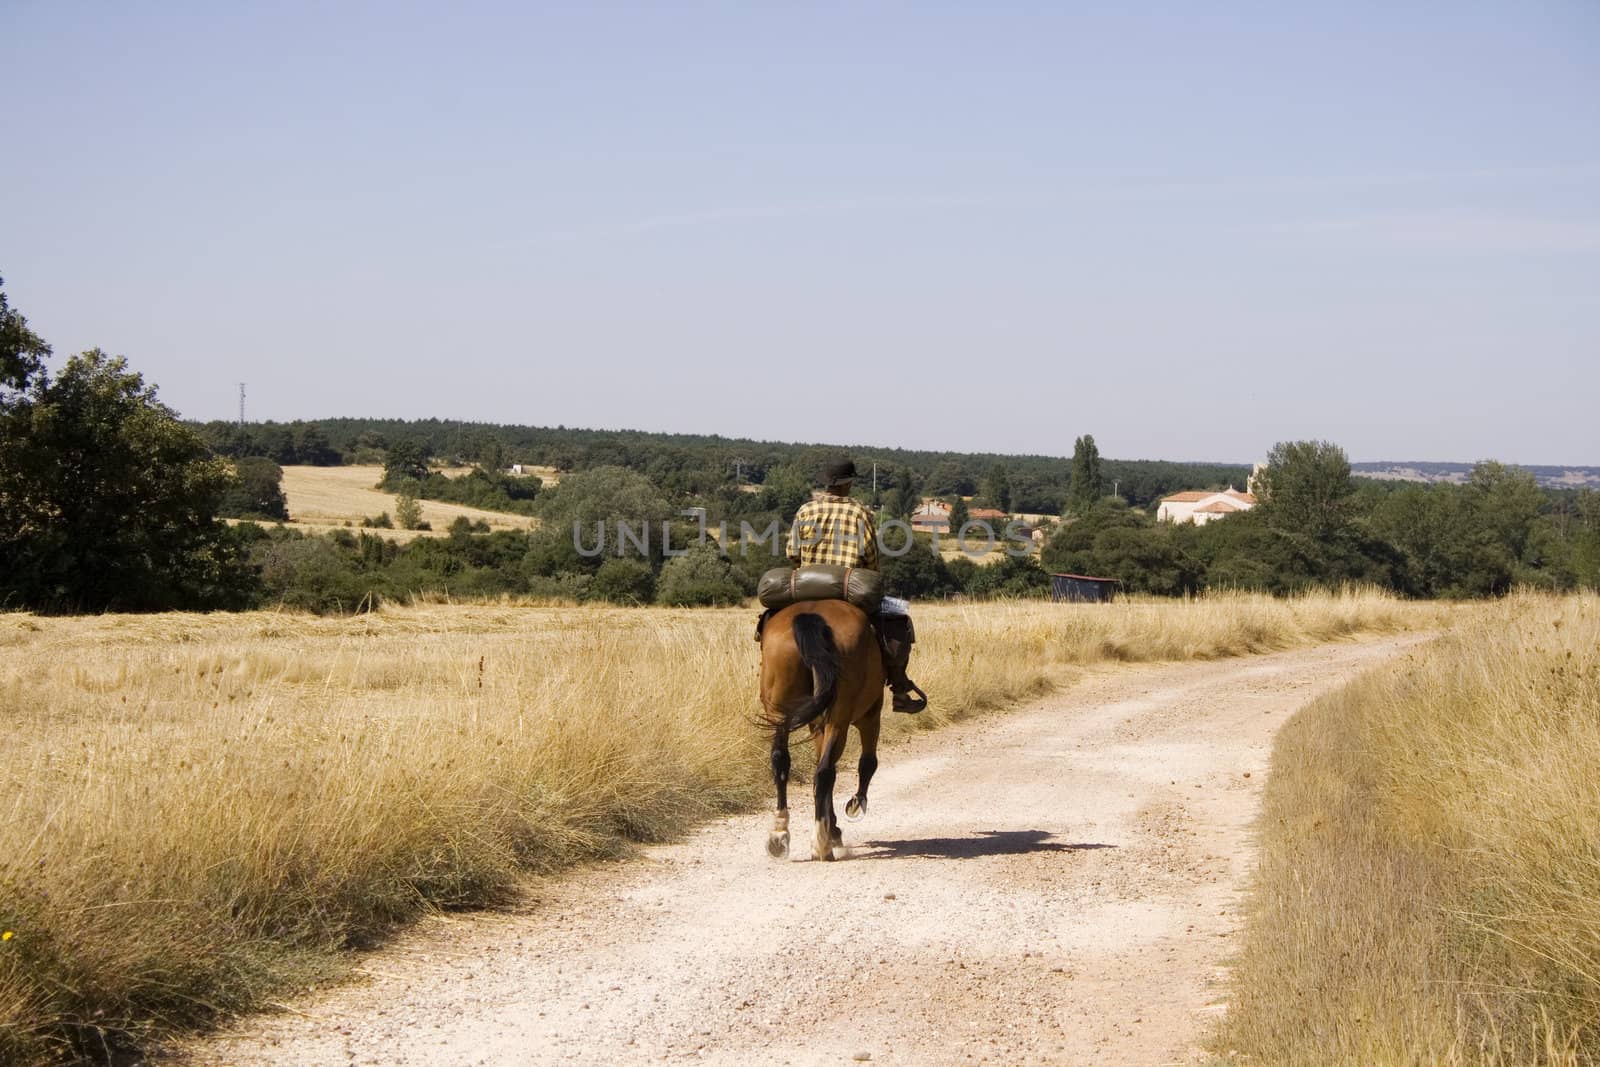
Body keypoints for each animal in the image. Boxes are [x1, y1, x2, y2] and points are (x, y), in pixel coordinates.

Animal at [755, 601, 883, 857]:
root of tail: (811, 616)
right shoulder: (871, 716)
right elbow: (867, 763)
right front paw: (852, 807)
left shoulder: (817, 725)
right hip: (839, 718)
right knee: (825, 771)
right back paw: (822, 844)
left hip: (780, 712)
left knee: (781, 761)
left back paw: (779, 834)